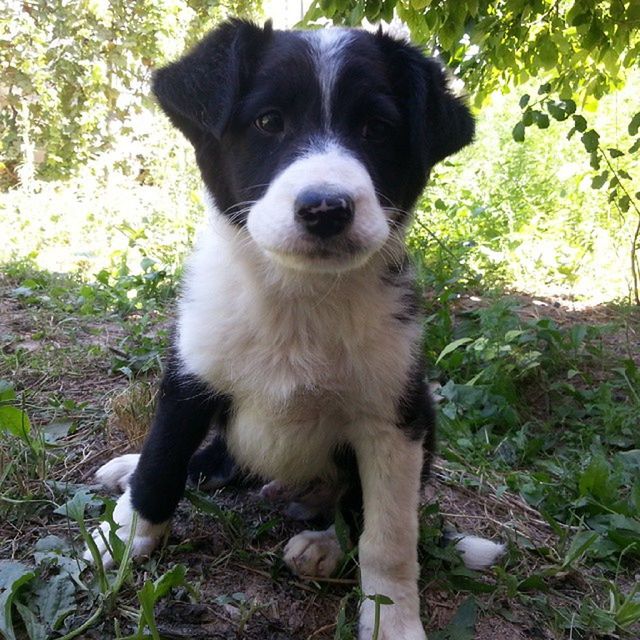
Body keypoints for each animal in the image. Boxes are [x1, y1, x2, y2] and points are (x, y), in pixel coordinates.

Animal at [87, 20, 502, 640]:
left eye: (375, 128)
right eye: (268, 122)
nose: (326, 208)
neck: (298, 298)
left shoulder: (395, 418)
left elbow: (388, 536)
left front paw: (391, 617)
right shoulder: (191, 376)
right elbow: (163, 461)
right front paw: (127, 534)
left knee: (355, 509)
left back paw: (324, 544)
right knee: (207, 461)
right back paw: (129, 470)